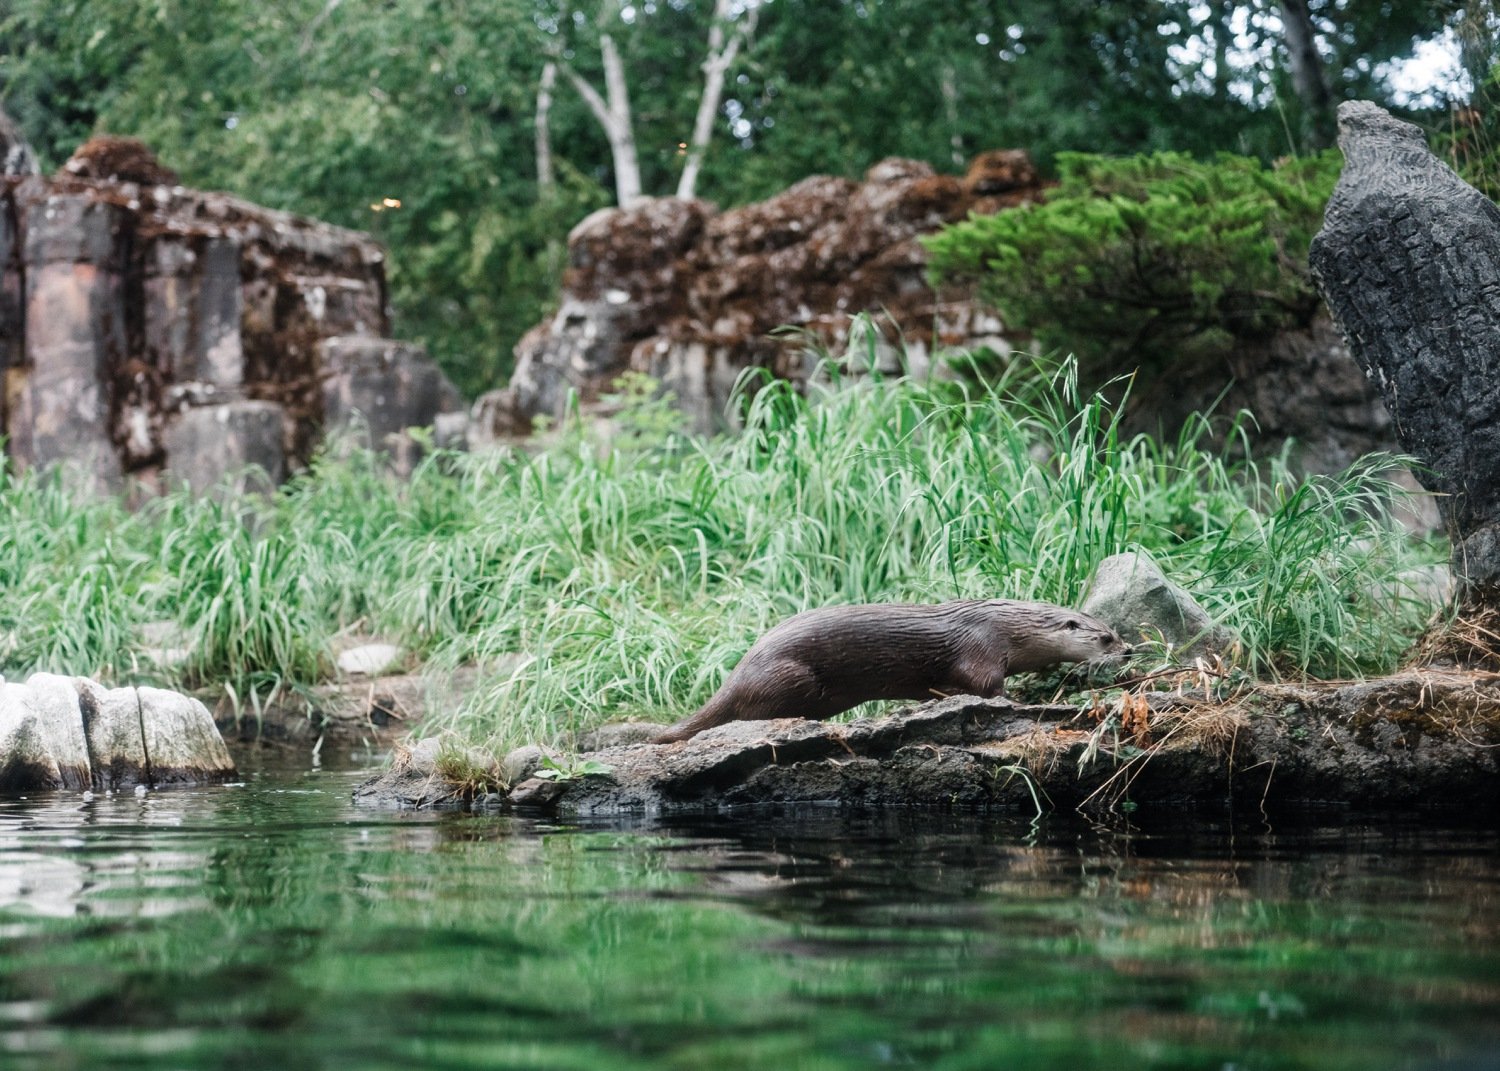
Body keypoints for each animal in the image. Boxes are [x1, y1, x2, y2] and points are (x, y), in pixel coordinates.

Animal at [657, 600, 1128, 744]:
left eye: (1117, 633)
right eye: (1106, 638)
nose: (1126, 652)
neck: (1011, 627)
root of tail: (737, 672)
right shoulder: (983, 647)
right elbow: (985, 685)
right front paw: (1017, 699)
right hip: (790, 676)